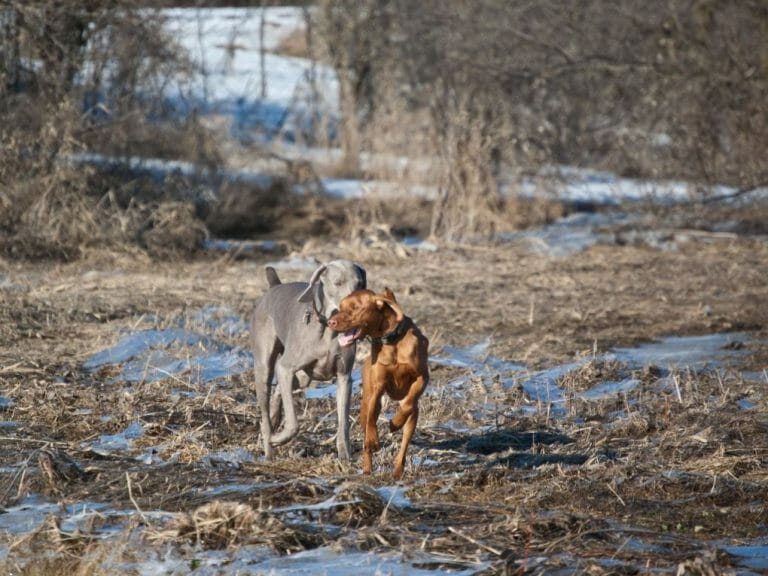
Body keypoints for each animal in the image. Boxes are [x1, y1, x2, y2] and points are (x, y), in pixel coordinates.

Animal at [254, 260, 368, 460]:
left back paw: (275, 417)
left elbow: (343, 422)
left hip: (303, 376)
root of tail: (275, 286)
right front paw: (279, 439)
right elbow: (293, 422)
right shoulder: (285, 368)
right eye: (337, 283)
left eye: (360, 284)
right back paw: (269, 449)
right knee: (265, 417)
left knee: (279, 391)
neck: (328, 331)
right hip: (264, 367)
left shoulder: (344, 377)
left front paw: (345, 457)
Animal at [328, 288, 428, 482]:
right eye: (340, 307)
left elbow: (408, 403)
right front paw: (373, 440)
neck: (392, 342)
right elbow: (371, 422)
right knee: (367, 426)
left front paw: (395, 423)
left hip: (413, 419)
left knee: (404, 445)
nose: (330, 322)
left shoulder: (422, 377)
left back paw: (397, 471)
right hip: (365, 404)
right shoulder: (377, 388)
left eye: (355, 307)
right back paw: (367, 467)